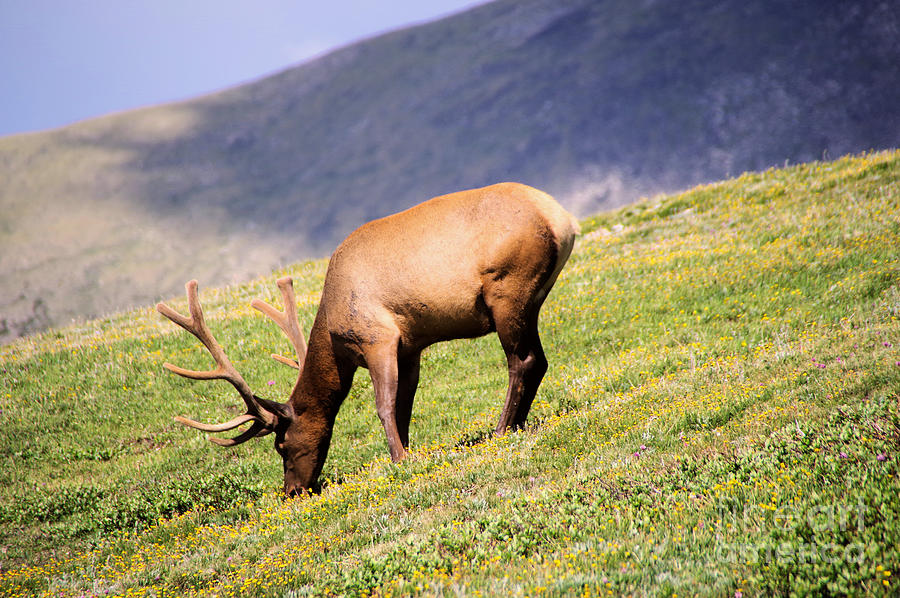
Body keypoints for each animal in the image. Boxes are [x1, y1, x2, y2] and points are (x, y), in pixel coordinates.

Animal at [155, 183, 576, 496]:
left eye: (281, 445)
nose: (292, 490)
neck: (333, 336)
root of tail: (562, 220)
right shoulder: (411, 346)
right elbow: (405, 404)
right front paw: (409, 449)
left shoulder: (378, 337)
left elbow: (384, 405)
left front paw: (399, 459)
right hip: (532, 298)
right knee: (539, 360)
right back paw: (518, 424)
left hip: (508, 289)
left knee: (522, 361)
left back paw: (502, 428)